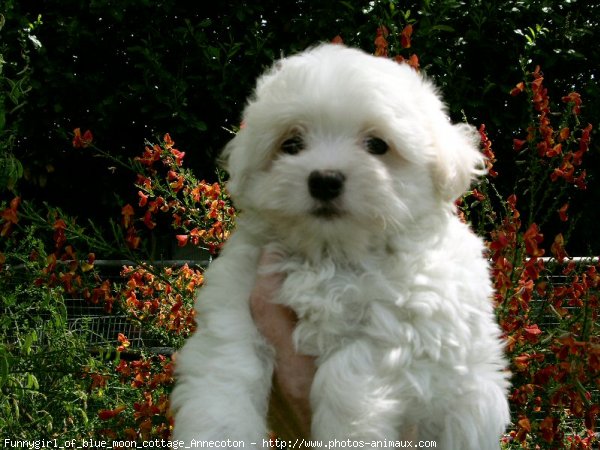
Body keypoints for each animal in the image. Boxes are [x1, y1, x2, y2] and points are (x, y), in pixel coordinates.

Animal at [170, 43, 510, 450]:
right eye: (292, 144)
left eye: (377, 145)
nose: (325, 180)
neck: (330, 254)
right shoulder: (236, 295)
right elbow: (227, 365)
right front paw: (217, 433)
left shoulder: (407, 326)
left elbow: (348, 373)